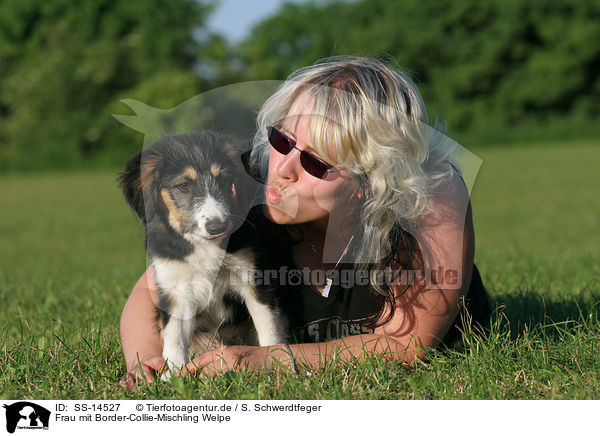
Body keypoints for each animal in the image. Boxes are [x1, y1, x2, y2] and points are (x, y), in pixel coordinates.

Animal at [119, 130, 286, 378]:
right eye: (184, 186)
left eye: (224, 181)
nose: (218, 227)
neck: (203, 245)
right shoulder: (176, 292)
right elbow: (174, 341)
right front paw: (173, 377)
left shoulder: (254, 281)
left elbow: (269, 330)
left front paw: (273, 364)